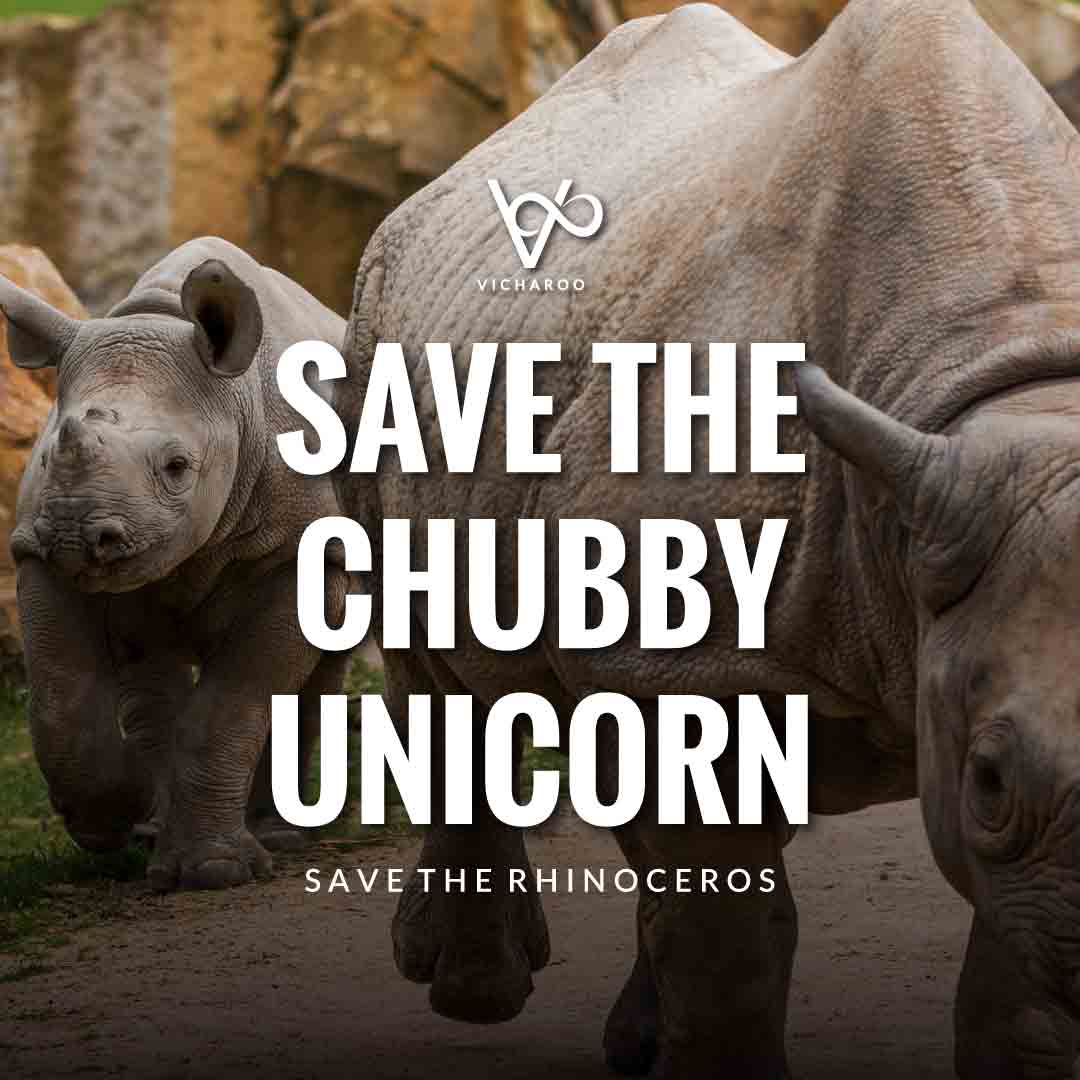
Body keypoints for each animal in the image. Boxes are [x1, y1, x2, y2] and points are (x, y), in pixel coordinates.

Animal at [1, 237, 348, 890]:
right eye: (48, 453)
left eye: (177, 467)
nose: (76, 535)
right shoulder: (37, 548)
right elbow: (62, 697)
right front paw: (111, 821)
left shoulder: (306, 551)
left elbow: (237, 699)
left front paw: (214, 872)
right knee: (151, 673)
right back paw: (153, 828)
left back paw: (278, 838)